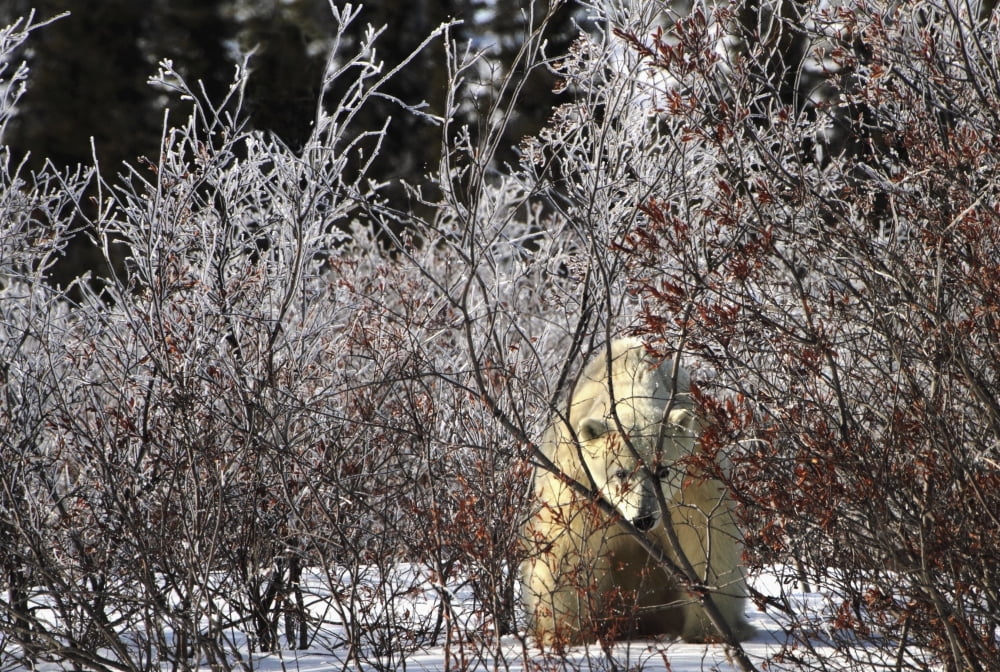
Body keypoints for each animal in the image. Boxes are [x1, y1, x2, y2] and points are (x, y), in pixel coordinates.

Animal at [522, 337, 753, 648]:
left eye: (664, 471)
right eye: (620, 472)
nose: (644, 518)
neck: (636, 376)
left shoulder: (696, 477)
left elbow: (706, 539)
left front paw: (710, 629)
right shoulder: (579, 481)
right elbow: (570, 546)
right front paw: (565, 631)